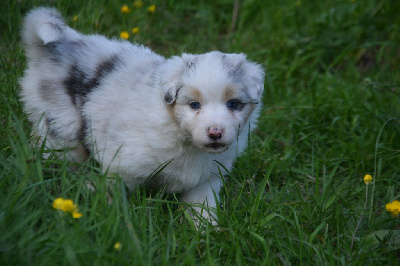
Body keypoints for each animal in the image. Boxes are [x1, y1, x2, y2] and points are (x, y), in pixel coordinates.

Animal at [21, 7, 266, 225]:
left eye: (233, 104)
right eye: (194, 104)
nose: (215, 133)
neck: (180, 135)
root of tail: (59, 46)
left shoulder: (206, 177)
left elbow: (202, 207)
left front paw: (206, 233)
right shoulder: (121, 164)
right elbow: (113, 192)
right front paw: (113, 218)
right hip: (62, 130)